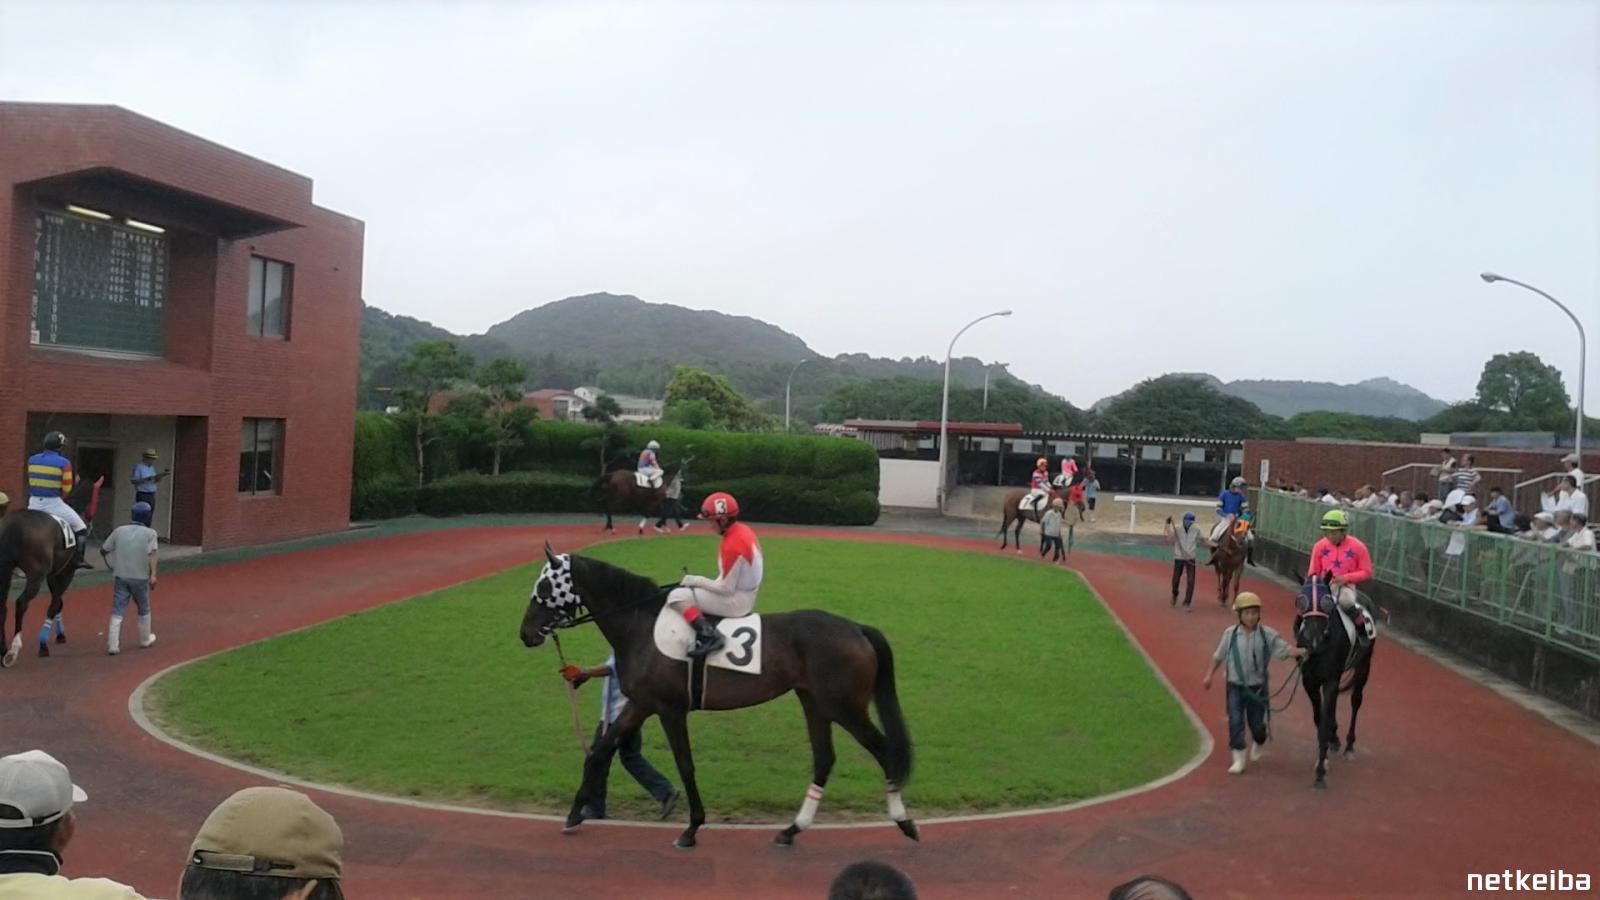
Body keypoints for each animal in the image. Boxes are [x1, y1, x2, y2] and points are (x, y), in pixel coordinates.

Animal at [0, 477, 100, 668]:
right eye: (96, 496)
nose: (92, 519)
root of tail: (14, 523)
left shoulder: (53, 574)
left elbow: (58, 603)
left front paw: (60, 635)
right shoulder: (66, 573)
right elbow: (54, 605)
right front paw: (43, 644)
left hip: (6, 571)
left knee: (2, 606)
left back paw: (3, 650)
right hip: (36, 575)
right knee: (21, 603)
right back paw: (14, 649)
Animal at [520, 544, 917, 849]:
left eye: (545, 584)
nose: (525, 633)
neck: (642, 625)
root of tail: (857, 628)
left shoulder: (669, 709)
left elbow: (685, 765)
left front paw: (692, 828)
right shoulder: (641, 704)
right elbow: (600, 752)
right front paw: (574, 814)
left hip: (844, 707)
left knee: (883, 750)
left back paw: (903, 821)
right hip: (814, 703)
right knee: (824, 759)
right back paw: (791, 830)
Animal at [1293, 578, 1376, 790]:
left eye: (1327, 602)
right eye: (1301, 601)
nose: (1313, 639)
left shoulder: (1330, 679)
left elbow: (1323, 721)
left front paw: (1320, 771)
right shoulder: (1309, 680)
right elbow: (1318, 717)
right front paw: (1326, 749)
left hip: (1364, 666)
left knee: (1356, 700)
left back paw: (1348, 746)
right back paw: (1335, 737)